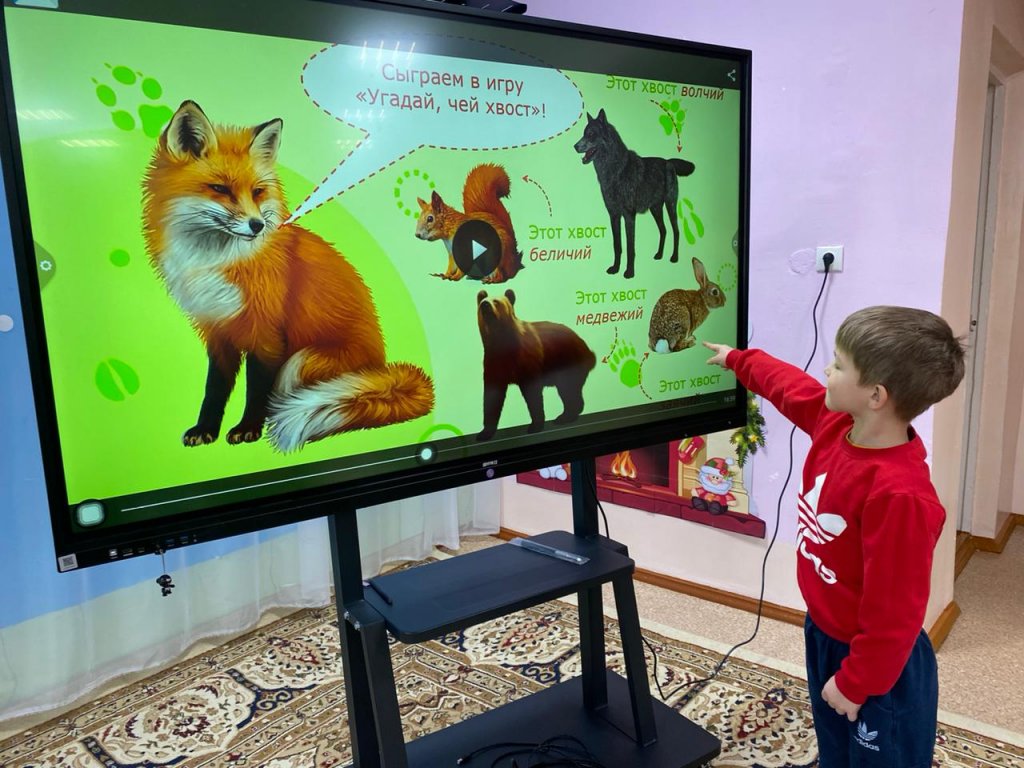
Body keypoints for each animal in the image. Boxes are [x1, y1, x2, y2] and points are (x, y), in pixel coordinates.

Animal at [142, 100, 434, 453]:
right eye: (220, 189)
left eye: (257, 191)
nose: (257, 225)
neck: (219, 261)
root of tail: (379, 367)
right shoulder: (218, 332)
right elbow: (214, 390)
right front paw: (206, 430)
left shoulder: (267, 334)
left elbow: (256, 391)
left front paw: (248, 429)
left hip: (300, 361)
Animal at [573, 108, 696, 279]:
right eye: (584, 133)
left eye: (591, 134)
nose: (575, 146)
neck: (615, 170)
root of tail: (668, 162)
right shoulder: (614, 215)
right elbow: (617, 245)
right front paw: (615, 268)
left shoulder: (629, 215)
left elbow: (630, 247)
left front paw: (629, 272)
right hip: (655, 209)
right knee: (663, 230)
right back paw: (659, 255)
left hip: (670, 205)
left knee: (676, 231)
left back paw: (674, 257)